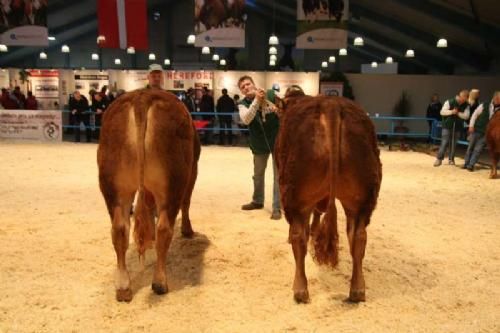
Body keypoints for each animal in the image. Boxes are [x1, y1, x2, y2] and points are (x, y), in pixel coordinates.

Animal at [97, 88, 199, 300]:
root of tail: (142, 96)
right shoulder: (193, 171)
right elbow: (186, 202)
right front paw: (187, 230)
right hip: (173, 181)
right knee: (164, 228)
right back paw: (160, 282)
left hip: (113, 184)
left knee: (119, 229)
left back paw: (123, 287)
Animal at [276, 94, 380, 302]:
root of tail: (330, 103)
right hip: (362, 198)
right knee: (358, 237)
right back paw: (357, 290)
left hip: (295, 195)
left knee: (298, 236)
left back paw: (300, 289)